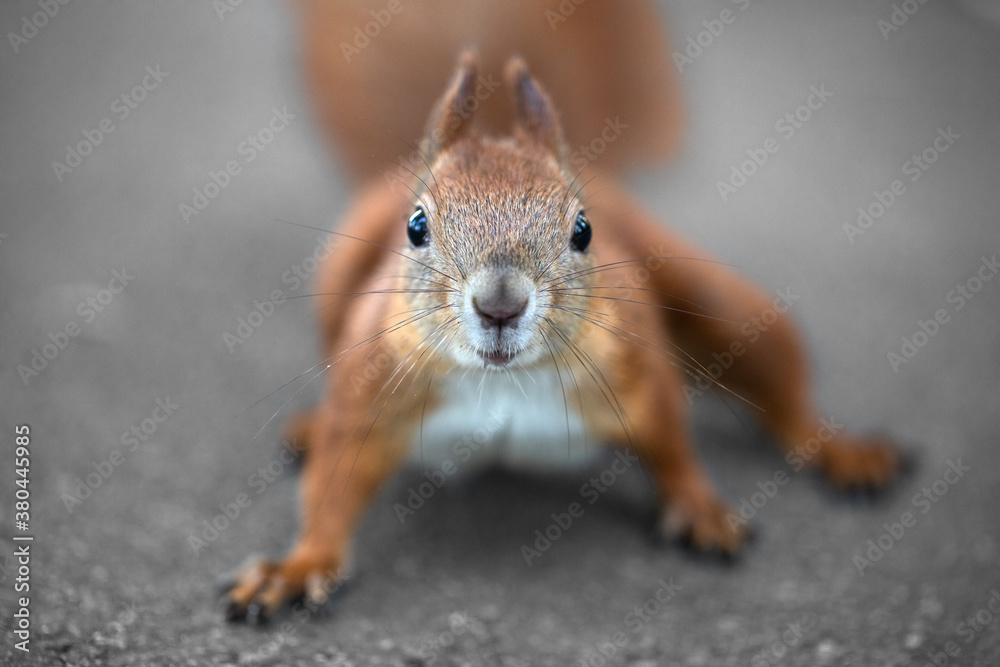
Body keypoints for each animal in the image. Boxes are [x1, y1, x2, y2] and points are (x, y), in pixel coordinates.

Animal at [223, 1, 904, 628]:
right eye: (415, 227)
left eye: (583, 229)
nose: (500, 304)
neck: (501, 382)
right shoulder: (371, 382)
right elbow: (334, 481)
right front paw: (299, 566)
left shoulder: (637, 364)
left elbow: (672, 442)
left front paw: (701, 508)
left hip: (723, 304)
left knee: (783, 395)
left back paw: (843, 451)